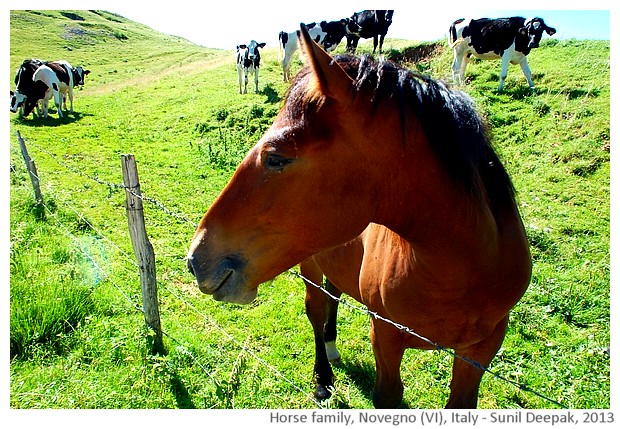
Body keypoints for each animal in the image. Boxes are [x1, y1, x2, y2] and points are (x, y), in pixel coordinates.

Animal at [186, 24, 532, 408]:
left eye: (276, 157)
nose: (196, 259)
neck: (465, 267)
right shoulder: (385, 336)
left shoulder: (481, 352)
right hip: (309, 263)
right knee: (316, 307)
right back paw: (323, 378)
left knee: (333, 295)